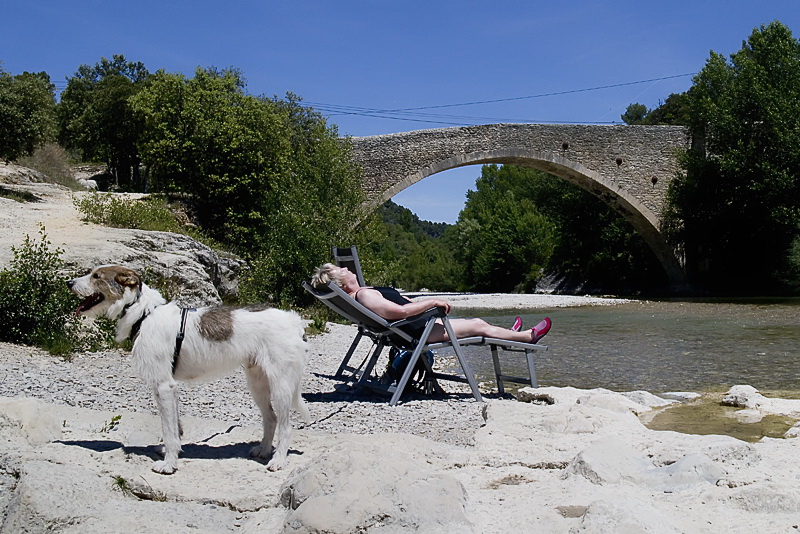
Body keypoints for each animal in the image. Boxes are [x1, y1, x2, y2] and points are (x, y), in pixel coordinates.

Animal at [69, 266, 310, 476]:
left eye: (96, 276)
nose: (68, 282)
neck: (144, 314)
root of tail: (295, 320)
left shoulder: (163, 386)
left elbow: (168, 430)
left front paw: (168, 465)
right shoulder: (170, 387)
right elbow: (175, 427)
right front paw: (170, 453)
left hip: (281, 386)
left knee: (286, 426)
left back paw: (278, 460)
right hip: (258, 384)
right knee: (271, 418)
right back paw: (264, 450)